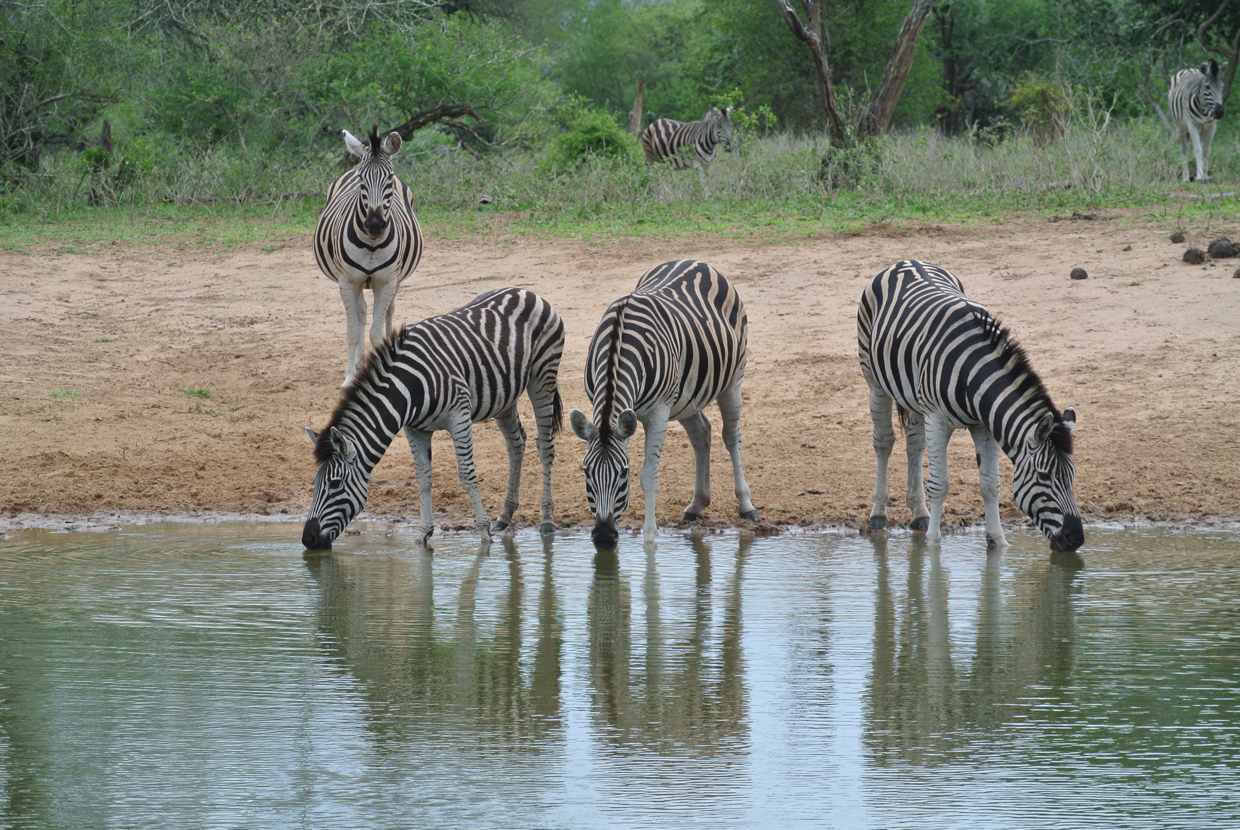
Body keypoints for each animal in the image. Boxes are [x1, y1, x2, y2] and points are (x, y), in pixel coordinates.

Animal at [302, 287, 564, 550]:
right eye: (315, 482)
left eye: (335, 484)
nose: (308, 539)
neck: (408, 389)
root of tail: (525, 291)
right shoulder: (414, 429)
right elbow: (423, 479)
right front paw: (423, 535)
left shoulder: (459, 415)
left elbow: (467, 476)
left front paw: (484, 535)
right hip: (504, 396)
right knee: (516, 444)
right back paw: (505, 515)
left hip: (542, 377)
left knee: (545, 447)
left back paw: (547, 520)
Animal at [314, 125, 424, 390]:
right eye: (362, 180)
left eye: (389, 178)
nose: (374, 225)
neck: (372, 244)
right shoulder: (347, 281)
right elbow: (353, 330)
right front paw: (349, 377)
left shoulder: (386, 281)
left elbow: (376, 331)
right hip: (357, 281)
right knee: (362, 313)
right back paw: (359, 362)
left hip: (396, 280)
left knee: (389, 312)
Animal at [569, 259, 758, 546]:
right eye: (586, 471)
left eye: (624, 473)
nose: (603, 536)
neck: (618, 344)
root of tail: (695, 261)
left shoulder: (658, 411)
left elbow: (649, 476)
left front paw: (649, 538)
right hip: (687, 396)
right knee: (701, 433)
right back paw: (697, 505)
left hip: (733, 379)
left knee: (731, 436)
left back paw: (746, 505)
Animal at [856, 260, 1084, 552]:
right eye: (1045, 477)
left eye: (1072, 476)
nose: (1076, 538)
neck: (973, 375)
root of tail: (906, 261)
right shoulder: (937, 419)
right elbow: (939, 485)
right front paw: (933, 544)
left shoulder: (985, 426)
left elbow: (990, 485)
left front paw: (998, 540)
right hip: (875, 381)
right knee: (884, 441)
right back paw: (878, 513)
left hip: (913, 398)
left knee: (914, 445)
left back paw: (919, 514)